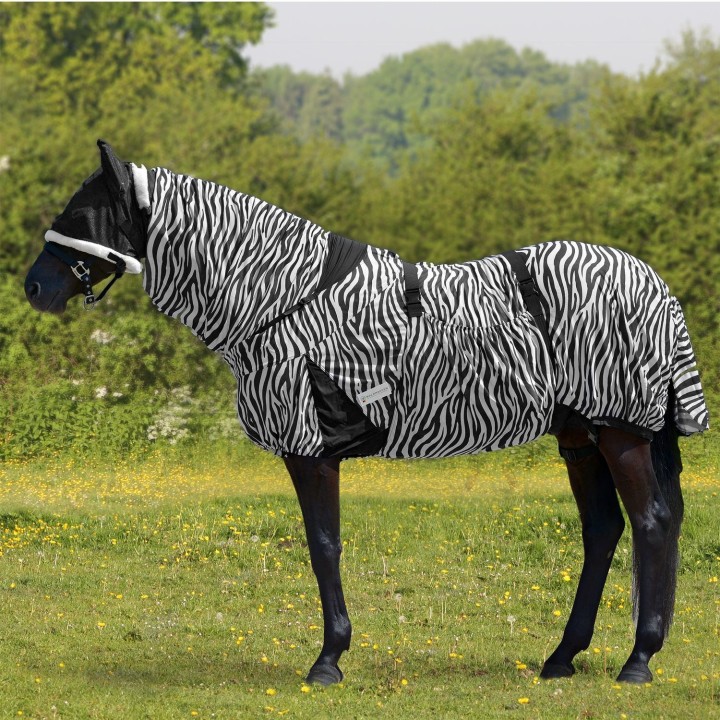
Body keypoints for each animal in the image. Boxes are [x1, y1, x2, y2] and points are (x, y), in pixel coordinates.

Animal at [25, 140, 709, 686]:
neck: (280, 299)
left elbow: (323, 545)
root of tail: (654, 285)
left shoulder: (311, 450)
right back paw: (562, 657)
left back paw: (638, 661)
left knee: (651, 524)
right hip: (580, 436)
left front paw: (328, 660)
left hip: (620, 433)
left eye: (80, 215)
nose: (34, 287)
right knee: (604, 530)